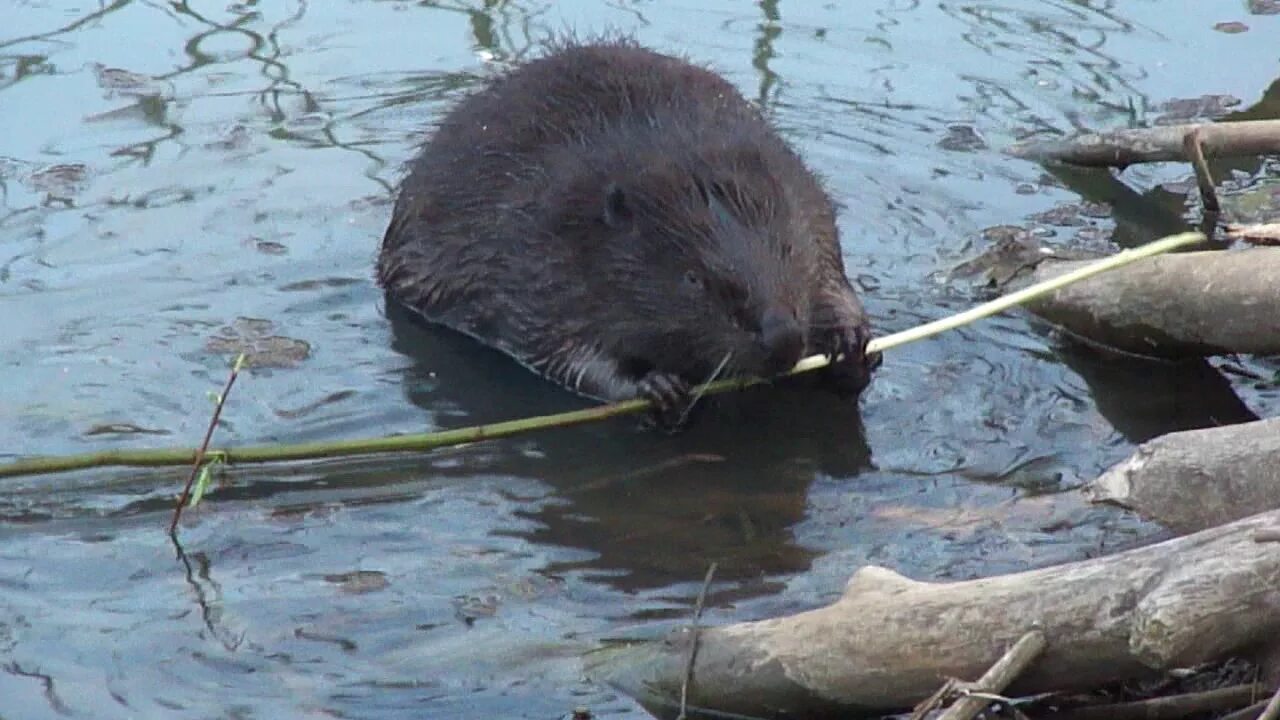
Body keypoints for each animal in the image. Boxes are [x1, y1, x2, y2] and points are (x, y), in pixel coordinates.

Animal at [378, 37, 875, 425]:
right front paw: (656, 387)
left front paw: (853, 345)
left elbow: (830, 279)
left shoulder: (805, 201)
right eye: (693, 279)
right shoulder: (538, 260)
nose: (783, 338)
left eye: (788, 249)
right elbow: (557, 351)